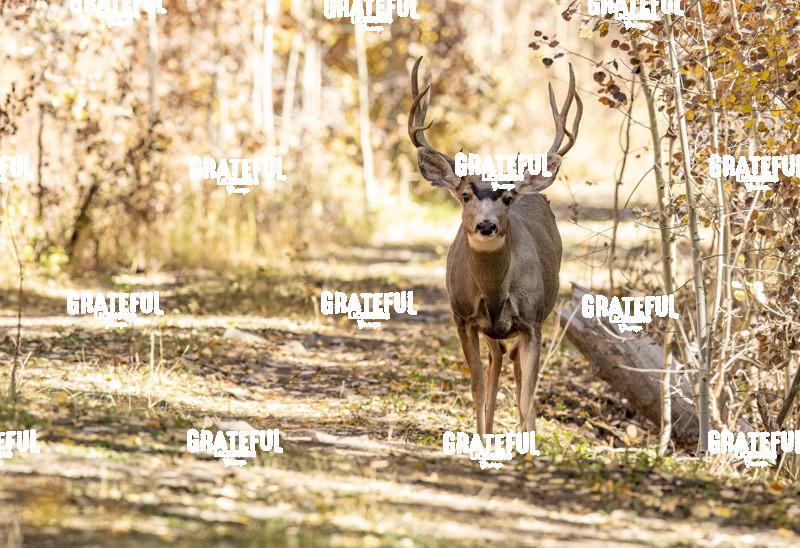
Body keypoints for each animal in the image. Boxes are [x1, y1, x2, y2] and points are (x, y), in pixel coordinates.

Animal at [408, 57, 582, 435]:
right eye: (464, 195)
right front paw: (481, 435)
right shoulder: (462, 316)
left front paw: (527, 437)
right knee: (498, 359)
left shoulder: (532, 321)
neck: (493, 292)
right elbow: (476, 384)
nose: (486, 225)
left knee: (514, 366)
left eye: (508, 196)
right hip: (489, 329)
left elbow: (527, 394)